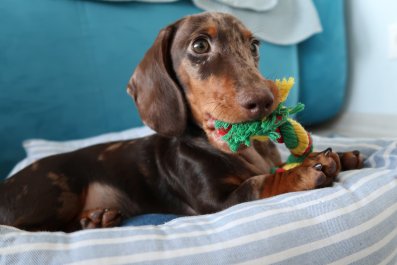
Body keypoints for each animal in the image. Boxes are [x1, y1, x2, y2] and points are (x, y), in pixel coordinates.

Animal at [0, 12, 362, 231]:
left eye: (254, 45)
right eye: (200, 45)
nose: (265, 100)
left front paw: (338, 155)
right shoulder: (216, 203)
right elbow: (261, 183)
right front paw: (303, 171)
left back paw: (97, 219)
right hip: (52, 194)